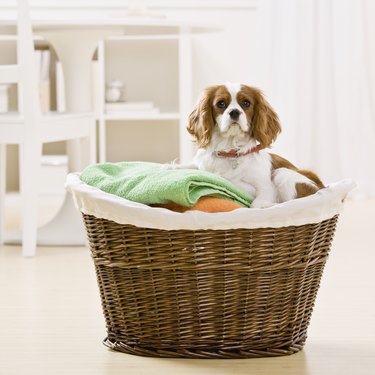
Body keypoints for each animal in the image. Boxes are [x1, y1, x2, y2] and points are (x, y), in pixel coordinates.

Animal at [170, 82, 324, 209]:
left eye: (246, 103)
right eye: (221, 103)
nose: (234, 112)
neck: (229, 151)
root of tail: (321, 187)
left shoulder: (266, 188)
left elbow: (254, 202)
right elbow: (195, 167)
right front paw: (172, 166)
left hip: (282, 173)